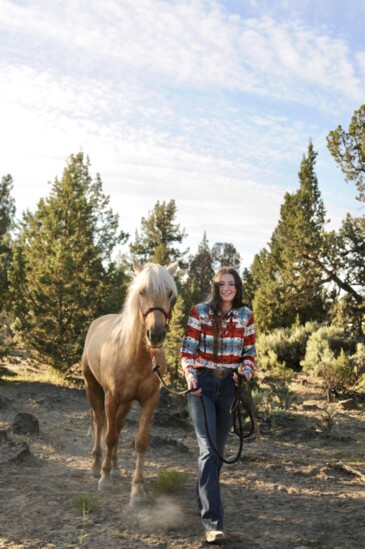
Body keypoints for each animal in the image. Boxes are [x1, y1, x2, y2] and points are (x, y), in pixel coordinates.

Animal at [82, 262, 179, 506]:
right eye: (142, 291)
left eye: (169, 293)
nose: (156, 334)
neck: (135, 354)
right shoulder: (111, 398)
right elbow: (109, 436)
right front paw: (104, 479)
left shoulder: (149, 400)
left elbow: (140, 442)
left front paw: (137, 490)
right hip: (92, 387)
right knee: (101, 423)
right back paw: (97, 466)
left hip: (126, 403)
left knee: (117, 425)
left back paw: (115, 467)